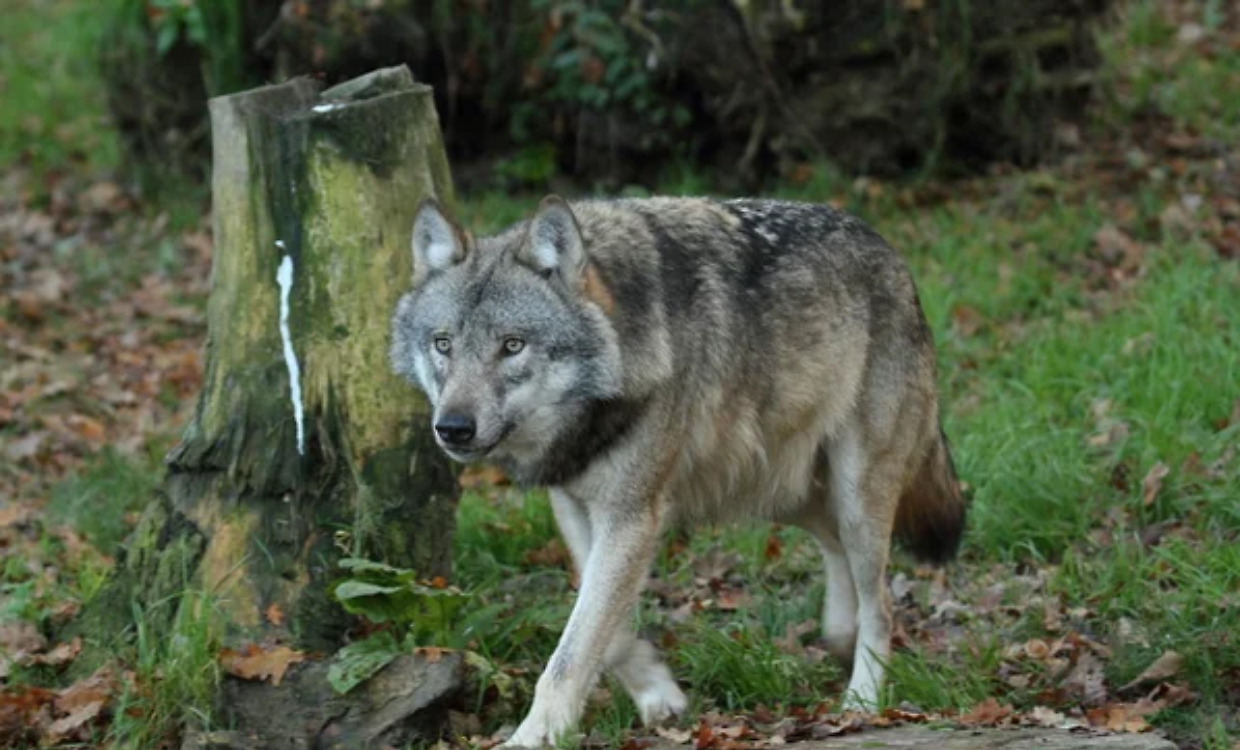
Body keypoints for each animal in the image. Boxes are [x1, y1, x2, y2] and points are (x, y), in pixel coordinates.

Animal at [390, 194, 967, 748]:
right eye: (443, 343)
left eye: (512, 345)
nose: (453, 428)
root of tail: (890, 253)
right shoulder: (576, 507)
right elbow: (605, 630)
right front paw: (658, 694)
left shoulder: (631, 516)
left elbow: (574, 647)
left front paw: (535, 736)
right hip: (785, 493)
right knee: (836, 550)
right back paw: (838, 636)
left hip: (853, 493)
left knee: (882, 604)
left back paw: (862, 700)